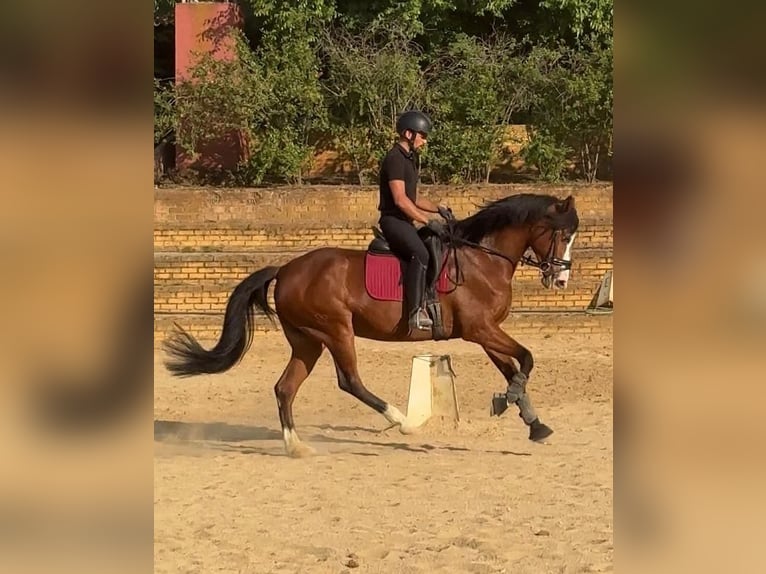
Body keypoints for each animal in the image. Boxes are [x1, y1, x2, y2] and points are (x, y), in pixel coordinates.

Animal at [164, 193, 580, 457]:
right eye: (562, 234)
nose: (560, 280)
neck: (483, 258)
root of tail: (285, 269)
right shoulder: (481, 330)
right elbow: (527, 359)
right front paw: (506, 403)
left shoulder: (486, 333)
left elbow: (515, 368)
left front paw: (533, 422)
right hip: (336, 331)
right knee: (349, 381)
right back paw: (403, 421)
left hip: (308, 341)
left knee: (285, 388)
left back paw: (296, 447)